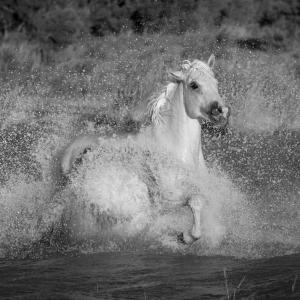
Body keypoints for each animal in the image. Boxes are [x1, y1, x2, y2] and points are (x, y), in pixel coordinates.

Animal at [60, 55, 230, 244]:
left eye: (215, 82)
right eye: (194, 85)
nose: (221, 112)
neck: (176, 150)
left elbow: (198, 202)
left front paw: (186, 236)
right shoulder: (169, 200)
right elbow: (191, 203)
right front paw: (181, 237)